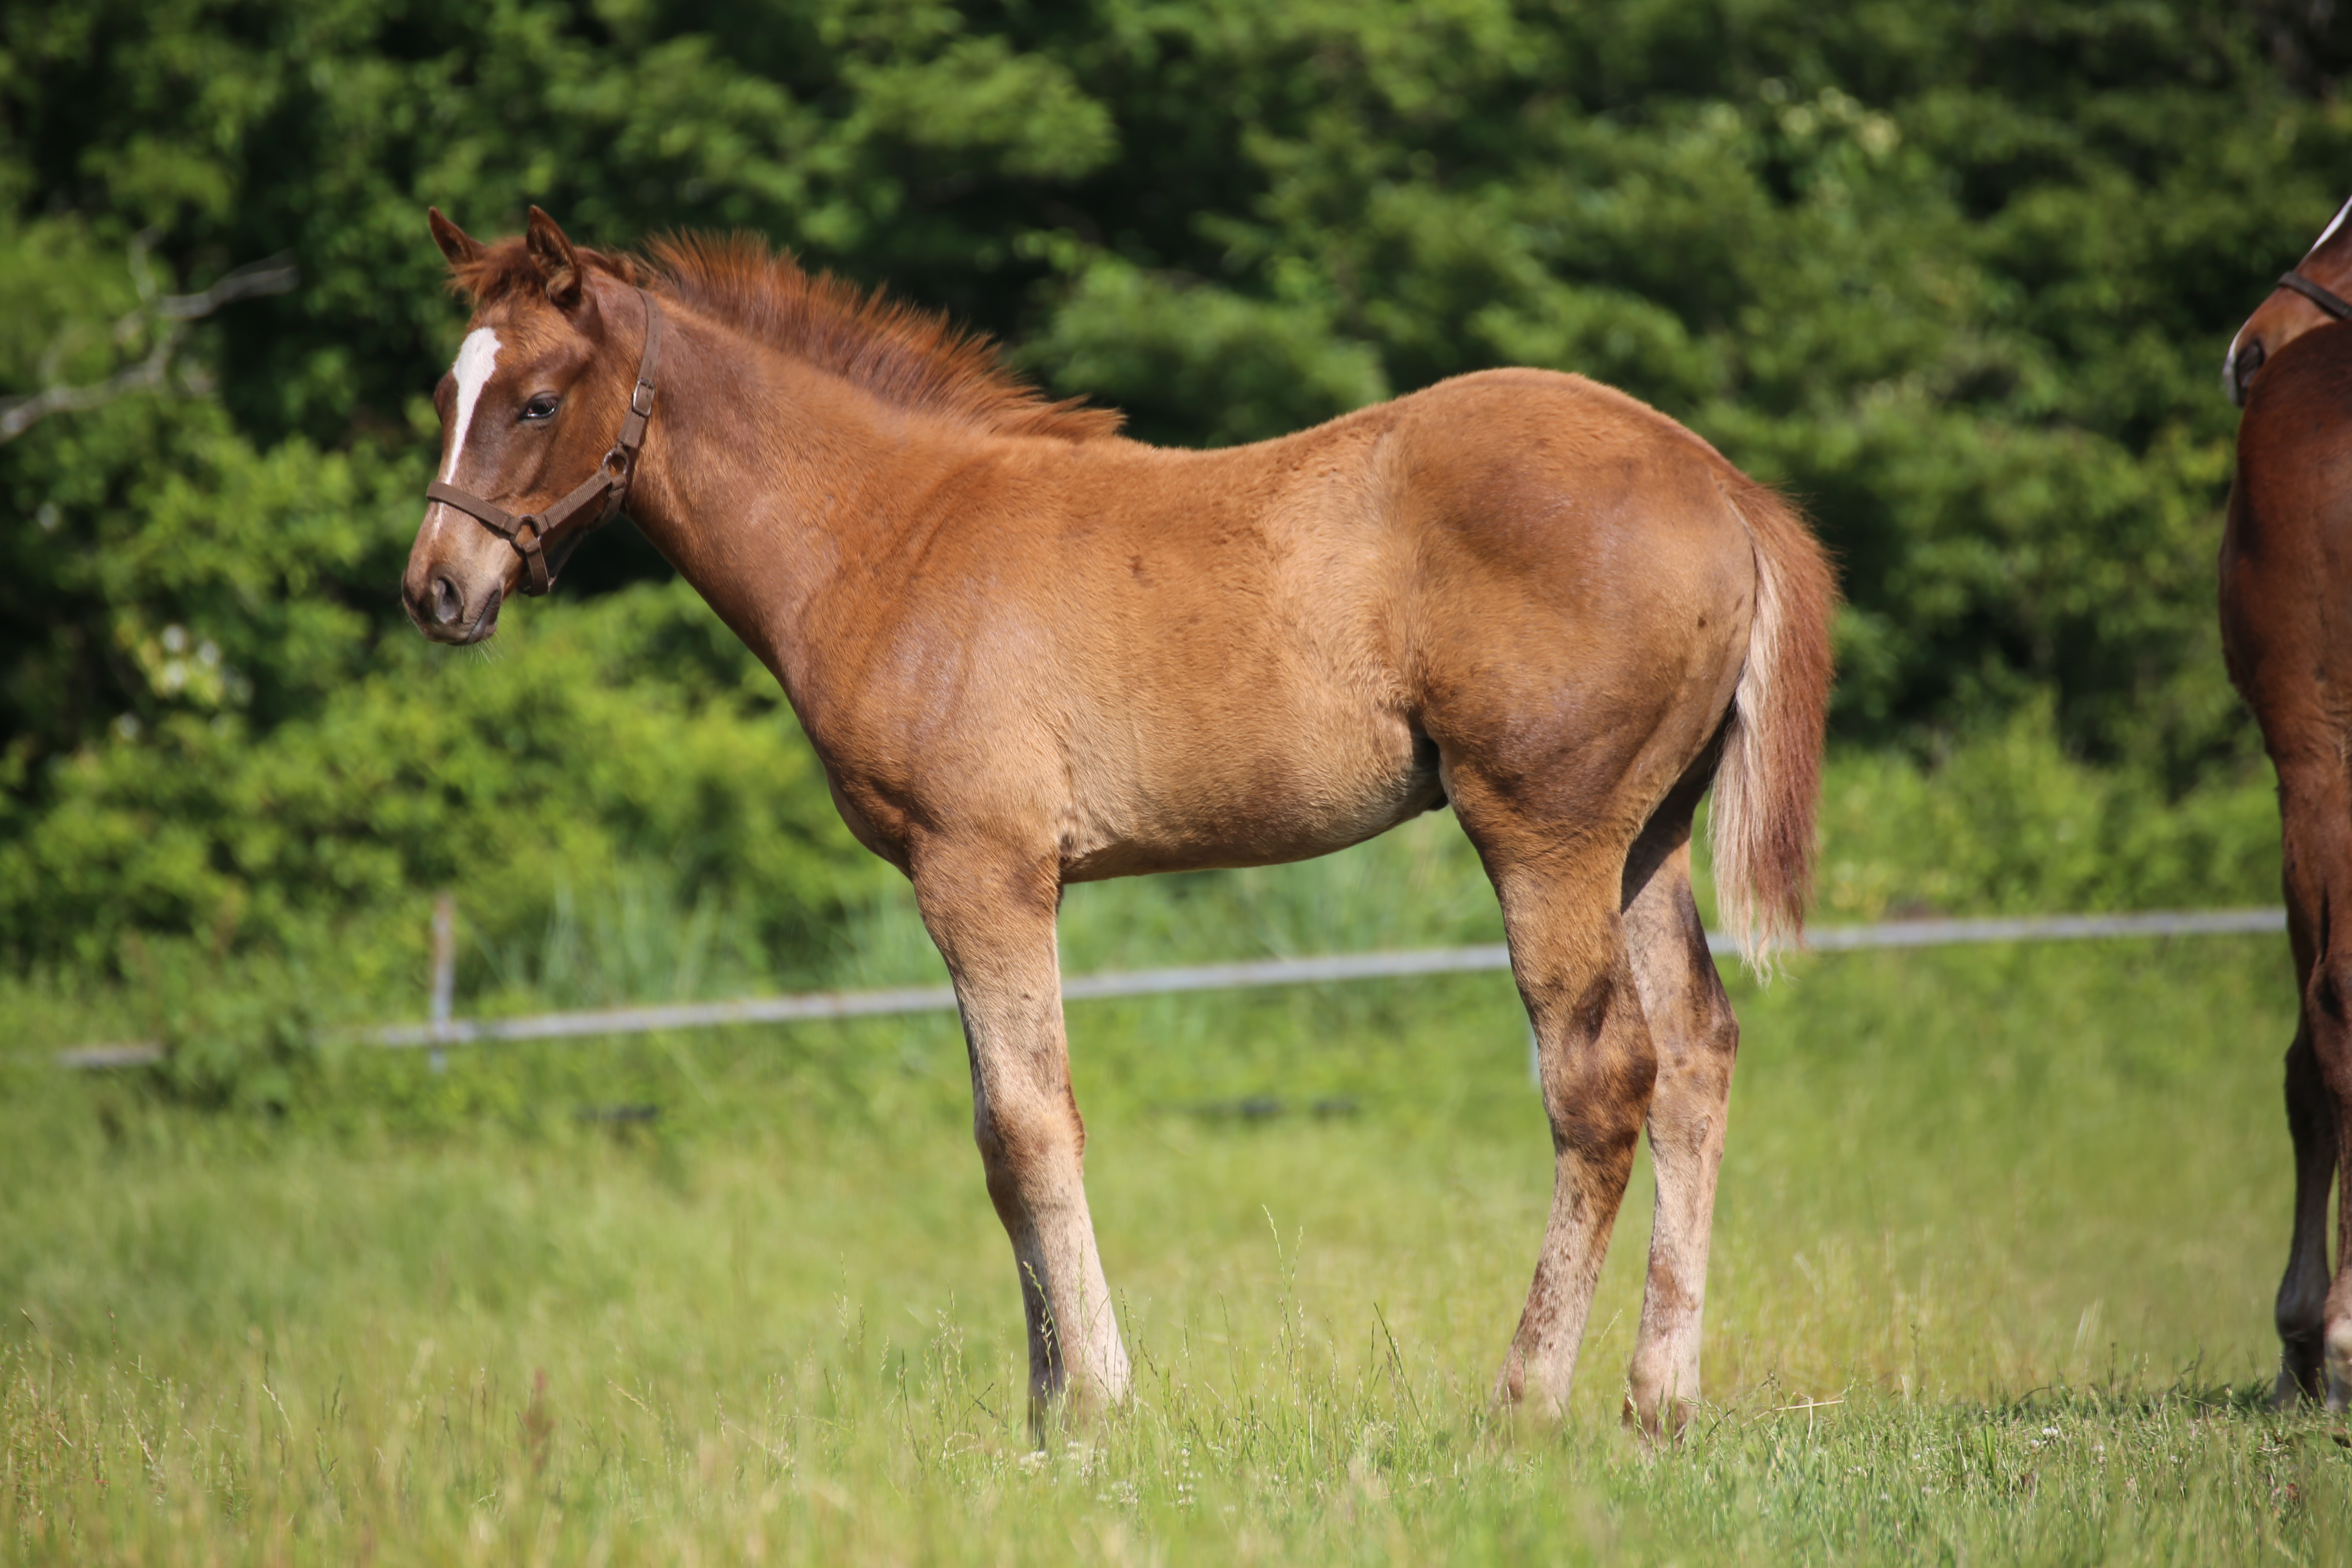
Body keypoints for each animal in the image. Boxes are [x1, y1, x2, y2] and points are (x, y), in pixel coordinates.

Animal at [404, 208, 1834, 1439]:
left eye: (537, 401)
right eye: (443, 397)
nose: (434, 591)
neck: (893, 533)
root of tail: (1720, 482)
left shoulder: (982, 870)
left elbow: (1036, 1127)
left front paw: (1094, 1404)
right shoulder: (967, 883)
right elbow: (998, 1135)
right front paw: (1043, 1413)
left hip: (1544, 831)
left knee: (1601, 1080)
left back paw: (1525, 1405)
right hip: (1644, 840)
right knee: (1697, 1056)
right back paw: (1658, 1405)